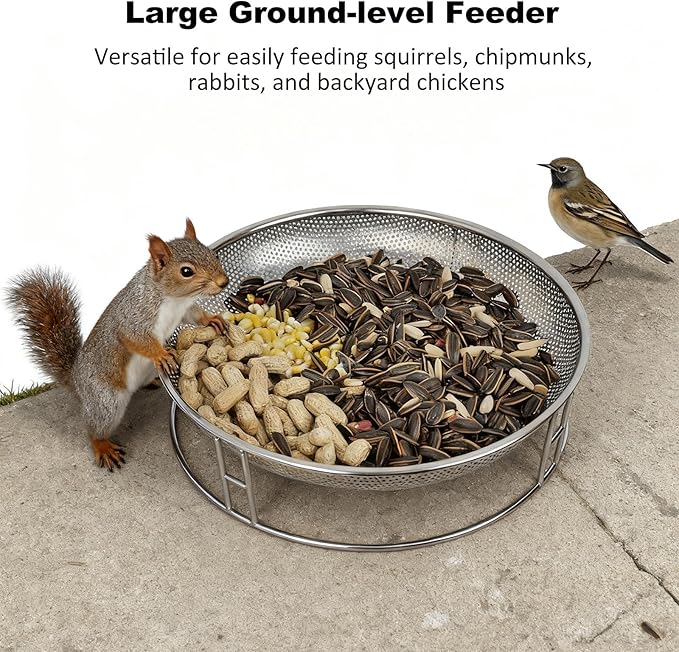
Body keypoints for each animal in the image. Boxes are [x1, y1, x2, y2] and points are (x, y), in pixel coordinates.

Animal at [6, 218, 229, 471]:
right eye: (186, 271)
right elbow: (136, 338)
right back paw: (102, 446)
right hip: (106, 401)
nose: (224, 282)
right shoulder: (133, 318)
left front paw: (211, 320)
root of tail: (77, 382)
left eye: (213, 254)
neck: (173, 299)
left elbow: (195, 316)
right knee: (94, 428)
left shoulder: (185, 310)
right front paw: (161, 354)